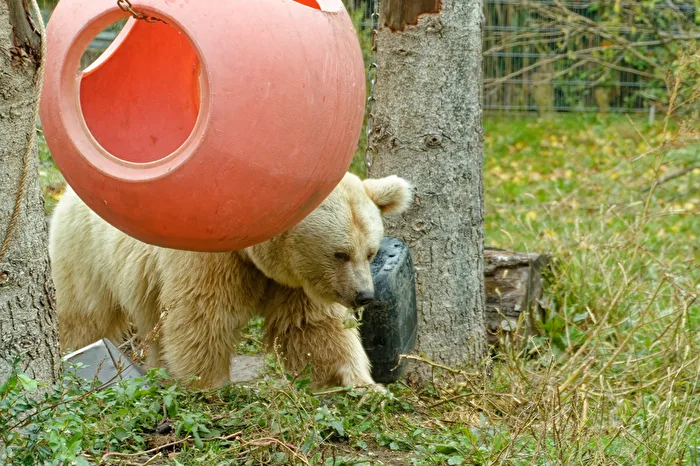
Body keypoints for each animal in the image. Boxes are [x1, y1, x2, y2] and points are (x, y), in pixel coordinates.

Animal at [49, 172, 413, 389]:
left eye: (370, 251)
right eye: (340, 253)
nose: (363, 295)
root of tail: (65, 193)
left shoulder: (294, 282)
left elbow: (312, 328)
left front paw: (361, 385)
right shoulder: (212, 258)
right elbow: (203, 318)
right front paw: (210, 386)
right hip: (86, 254)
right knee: (83, 317)